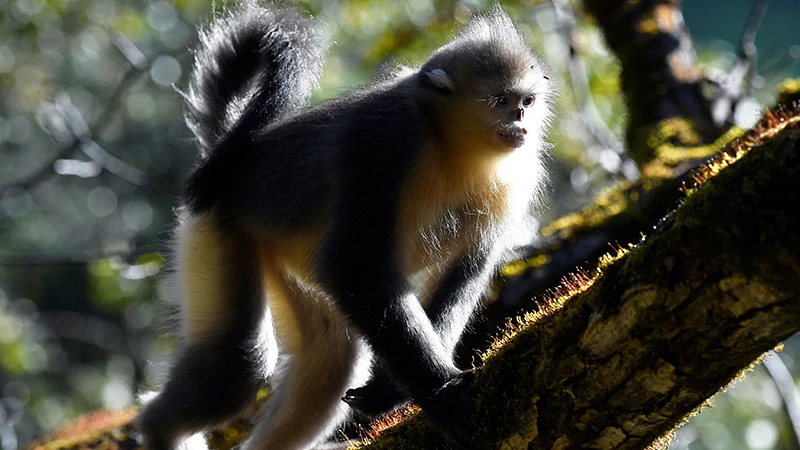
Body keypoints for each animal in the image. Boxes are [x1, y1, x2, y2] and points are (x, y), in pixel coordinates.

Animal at [137, 1, 553, 449]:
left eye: (527, 101)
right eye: (500, 100)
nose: (521, 122)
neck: (453, 145)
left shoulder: (516, 182)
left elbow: (462, 273)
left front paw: (390, 392)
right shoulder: (385, 141)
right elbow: (353, 264)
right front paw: (441, 391)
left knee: (332, 355)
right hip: (217, 229)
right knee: (241, 363)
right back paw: (158, 428)